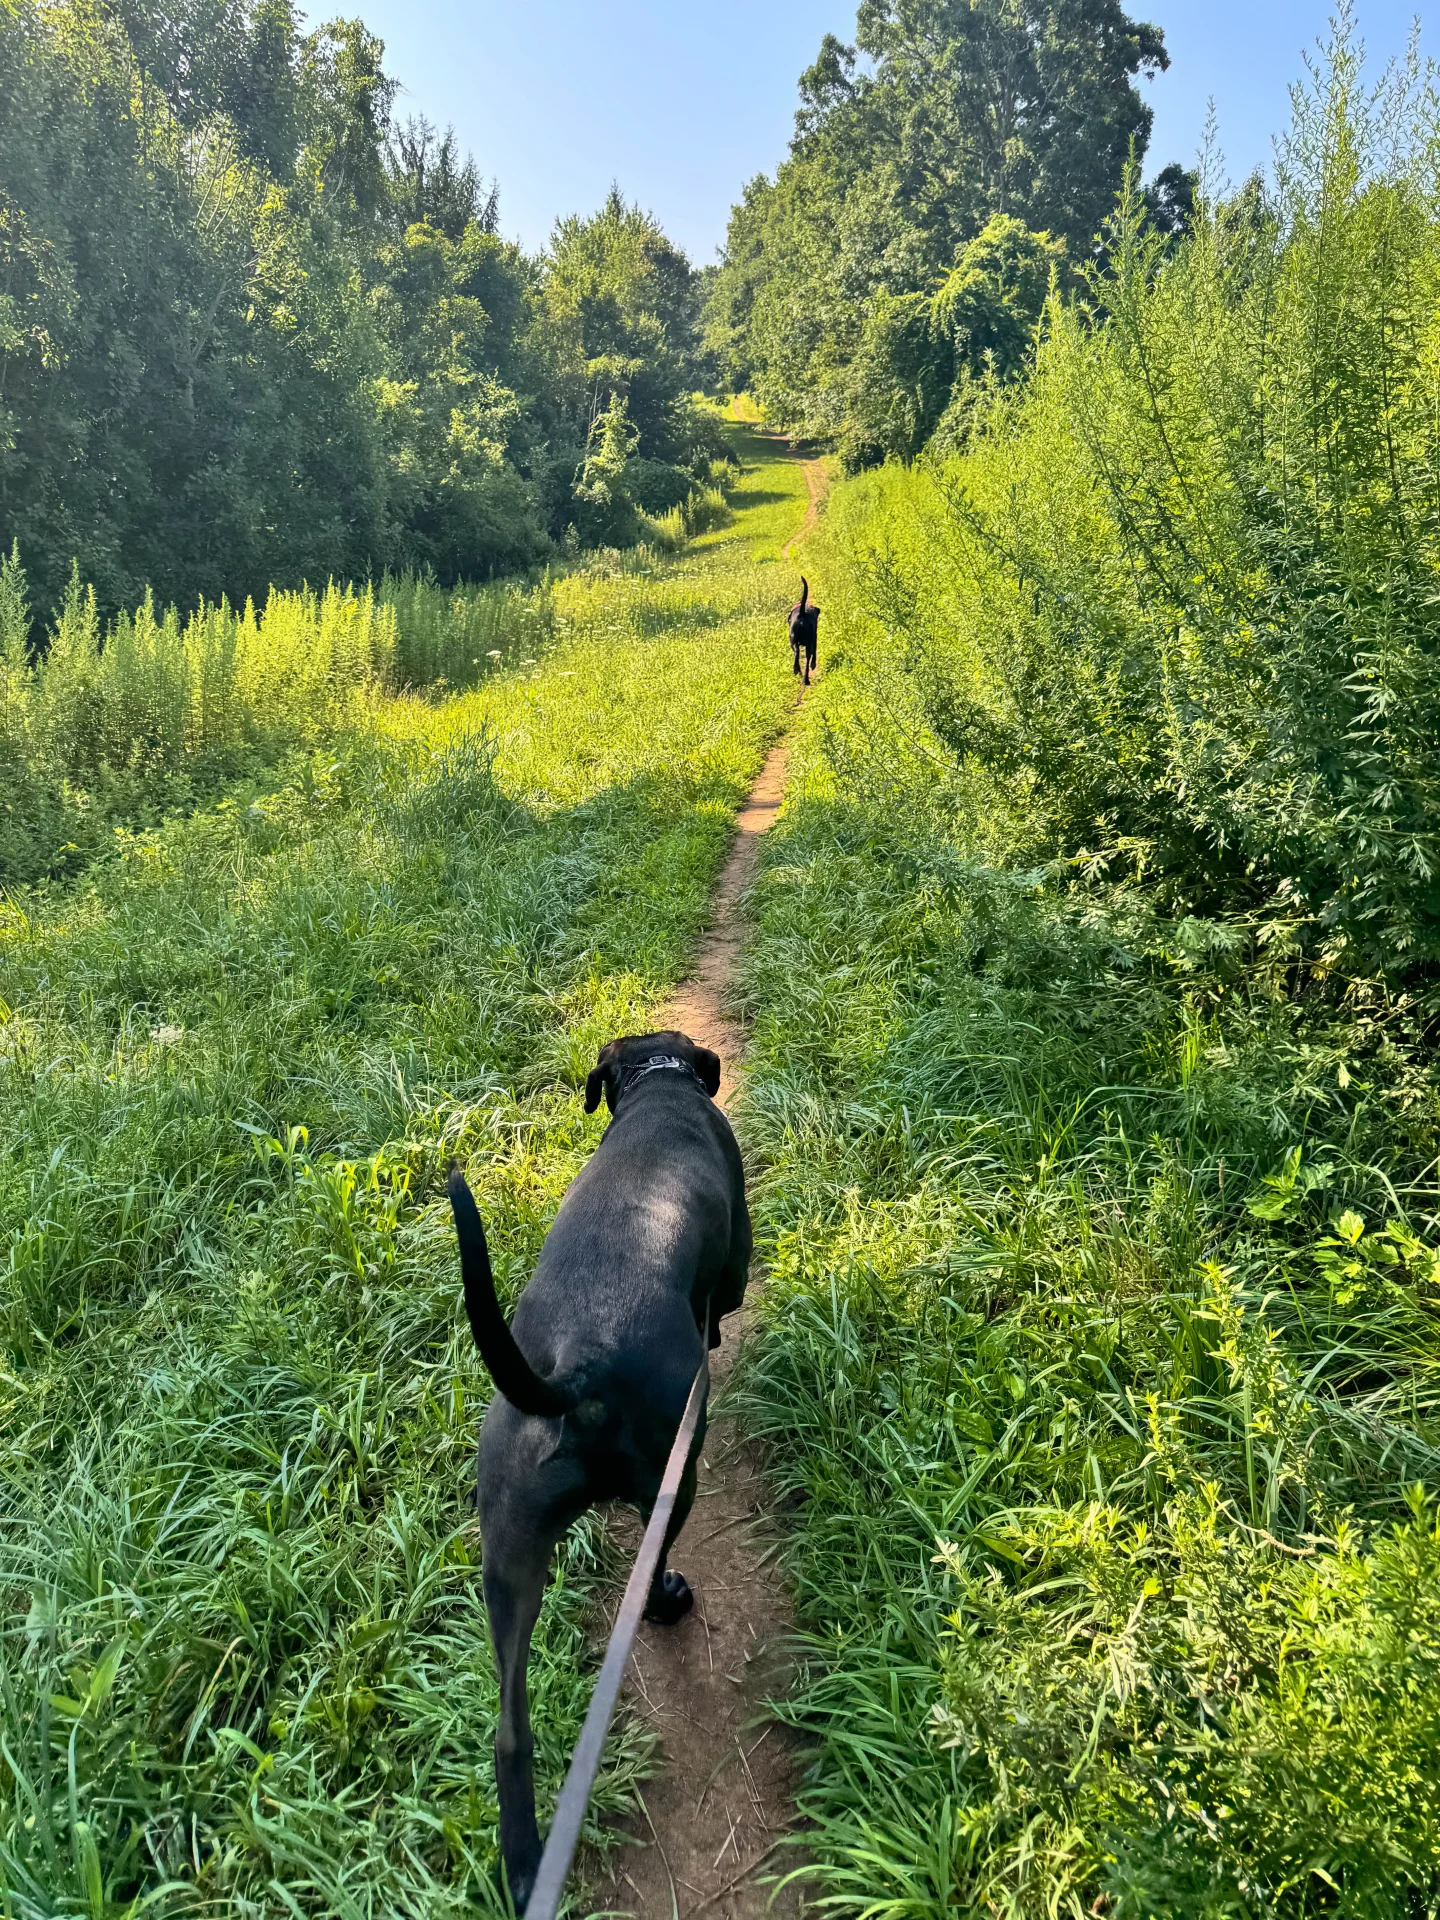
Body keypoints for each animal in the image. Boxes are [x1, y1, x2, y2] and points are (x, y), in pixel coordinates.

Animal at [449, 1036, 756, 1920]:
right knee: (654, 1569)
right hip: (672, 1476)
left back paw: (524, 1865)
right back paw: (668, 1601)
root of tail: (576, 1373)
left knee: (509, 1733)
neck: (661, 1084)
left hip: (507, 1556)